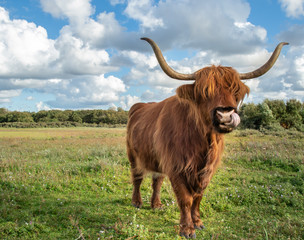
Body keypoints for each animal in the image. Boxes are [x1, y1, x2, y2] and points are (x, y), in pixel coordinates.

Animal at [126, 38, 288, 238]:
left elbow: (198, 196)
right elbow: (185, 198)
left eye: (234, 91)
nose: (225, 115)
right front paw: (187, 229)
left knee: (157, 180)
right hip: (133, 155)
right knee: (137, 177)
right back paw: (137, 202)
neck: (203, 142)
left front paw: (197, 222)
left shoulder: (206, 170)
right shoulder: (176, 166)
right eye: (204, 92)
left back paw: (156, 205)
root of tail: (139, 107)